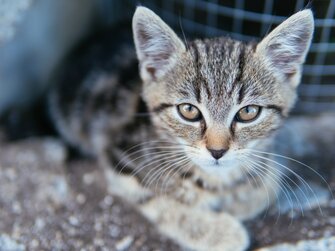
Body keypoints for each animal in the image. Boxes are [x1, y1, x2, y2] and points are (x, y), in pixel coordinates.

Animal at [48, 6, 316, 251]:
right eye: (188, 110)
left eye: (248, 112)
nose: (217, 151)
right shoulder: (117, 153)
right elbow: (163, 202)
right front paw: (219, 231)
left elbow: (267, 183)